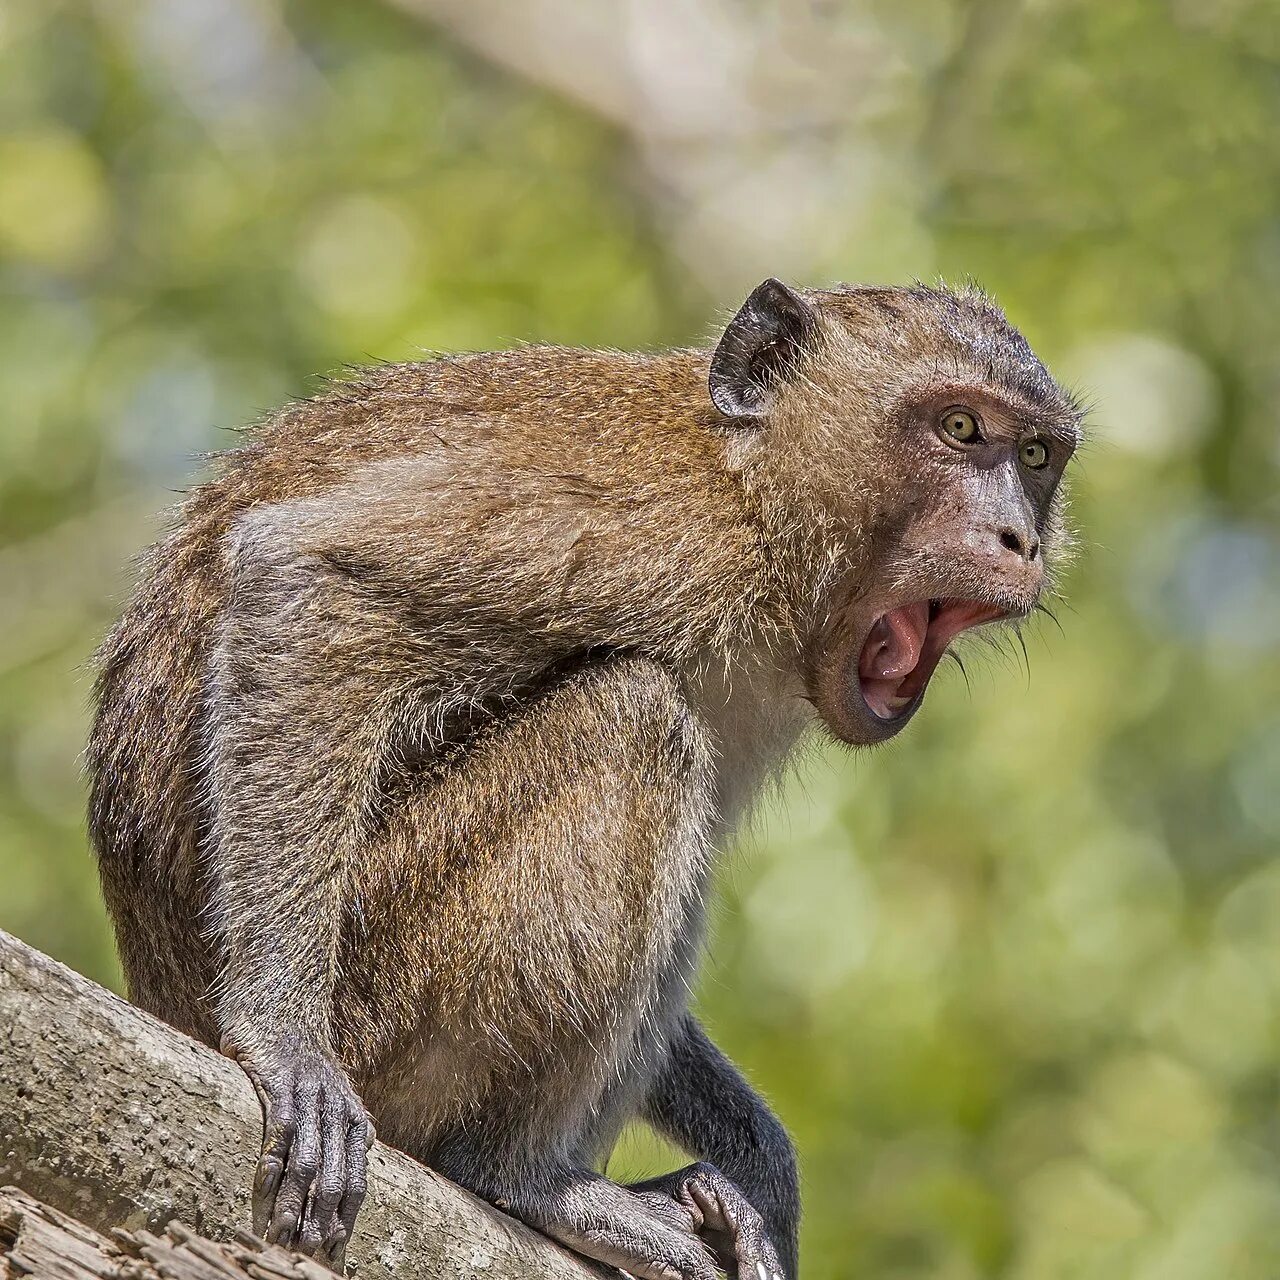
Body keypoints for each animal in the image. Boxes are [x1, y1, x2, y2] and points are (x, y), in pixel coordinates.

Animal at [87, 280, 1080, 1280]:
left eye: (1036, 457)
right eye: (961, 428)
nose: (1019, 539)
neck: (755, 489)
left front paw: (766, 1171)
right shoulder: (652, 526)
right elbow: (316, 575)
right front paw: (283, 1041)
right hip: (383, 992)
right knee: (631, 719)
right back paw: (518, 1177)